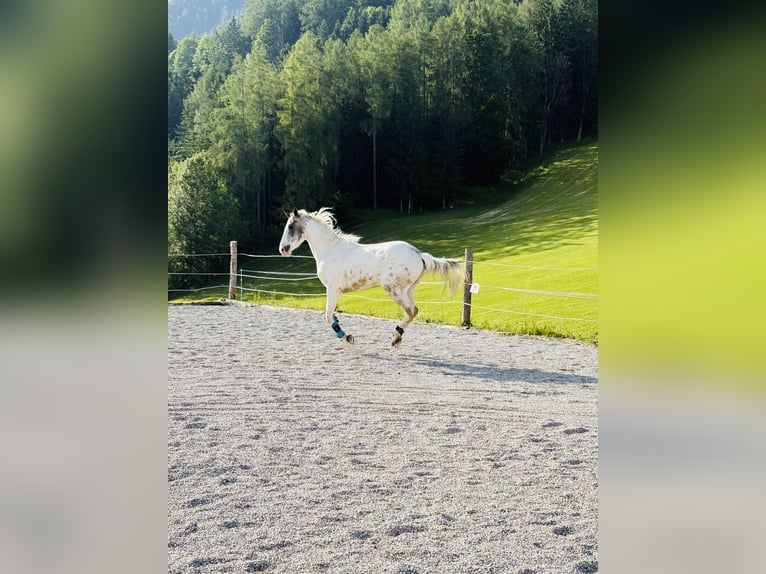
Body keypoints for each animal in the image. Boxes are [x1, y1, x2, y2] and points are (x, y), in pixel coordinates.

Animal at [279, 208, 463, 346]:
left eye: (290, 226)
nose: (283, 249)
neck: (329, 249)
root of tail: (419, 254)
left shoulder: (332, 289)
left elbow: (328, 315)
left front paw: (347, 337)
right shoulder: (334, 291)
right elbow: (332, 316)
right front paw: (345, 334)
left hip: (393, 289)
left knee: (412, 310)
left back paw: (395, 338)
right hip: (408, 289)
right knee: (413, 310)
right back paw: (396, 337)